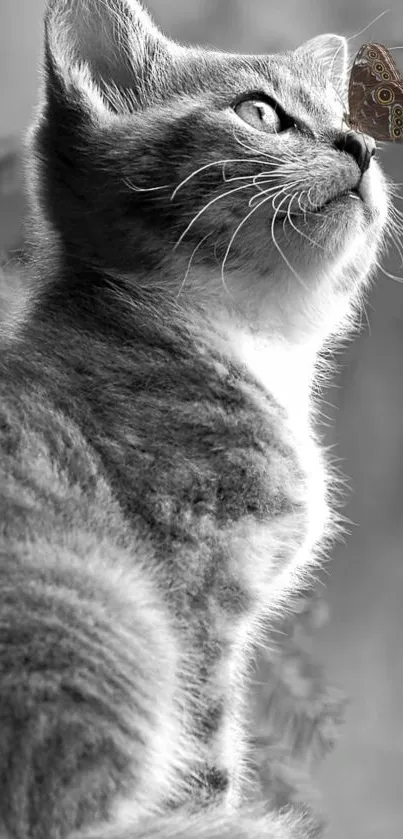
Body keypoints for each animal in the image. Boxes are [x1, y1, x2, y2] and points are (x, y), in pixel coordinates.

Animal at [0, 1, 392, 839]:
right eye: (260, 114)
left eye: (347, 120)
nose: (363, 145)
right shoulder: (197, 589)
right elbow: (206, 755)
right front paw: (220, 811)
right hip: (109, 612)